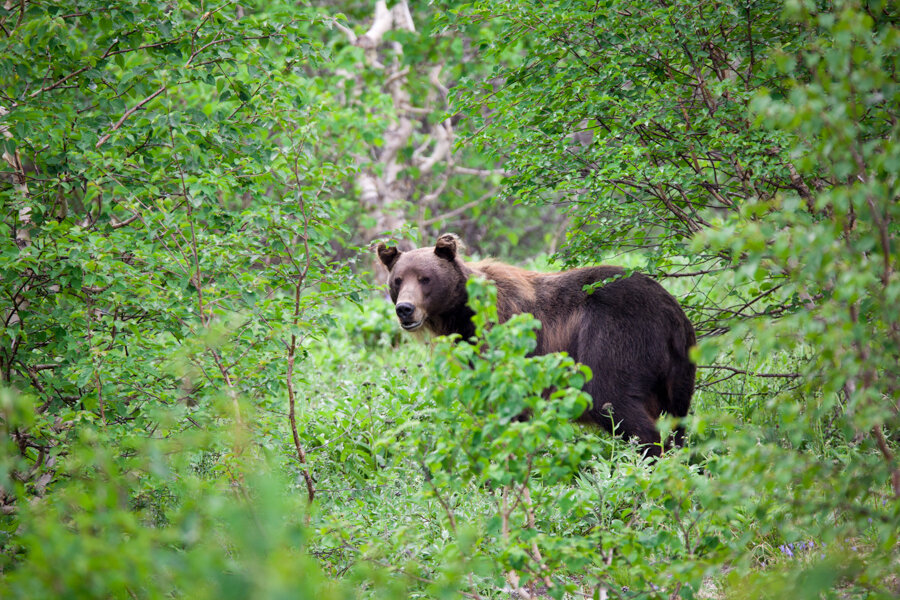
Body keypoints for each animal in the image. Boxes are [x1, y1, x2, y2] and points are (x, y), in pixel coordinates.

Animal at [372, 233, 696, 454]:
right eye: (398, 279)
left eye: (425, 278)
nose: (405, 309)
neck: (462, 314)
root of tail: (671, 312)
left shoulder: (501, 335)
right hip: (679, 367)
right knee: (677, 418)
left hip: (616, 335)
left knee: (612, 399)